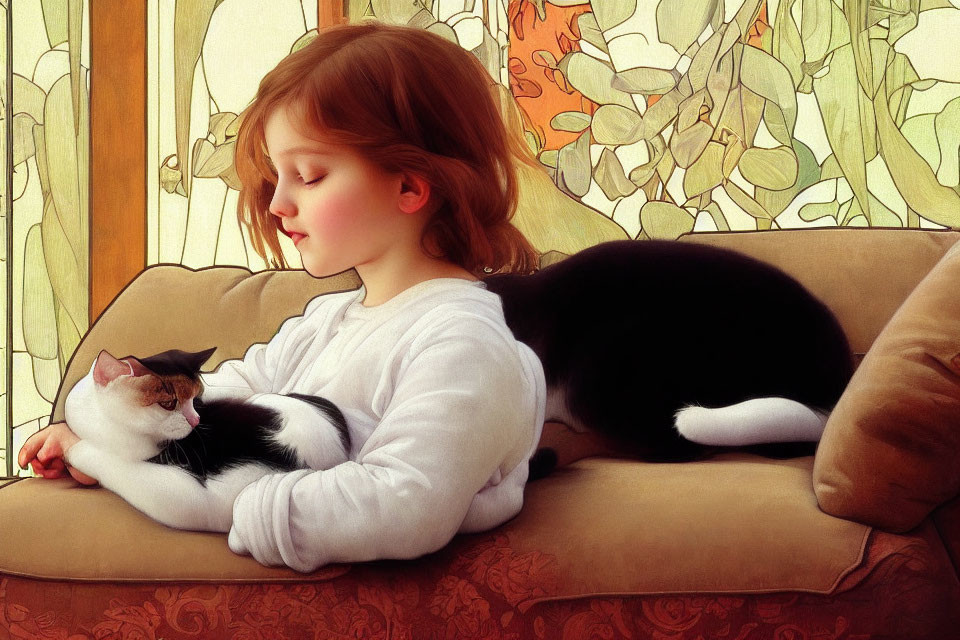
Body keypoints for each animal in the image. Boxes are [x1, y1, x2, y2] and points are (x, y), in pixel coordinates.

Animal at [62, 348, 348, 532]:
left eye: (195, 398)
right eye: (169, 403)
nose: (196, 420)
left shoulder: (199, 504)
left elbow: (112, 463)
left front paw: (74, 450)